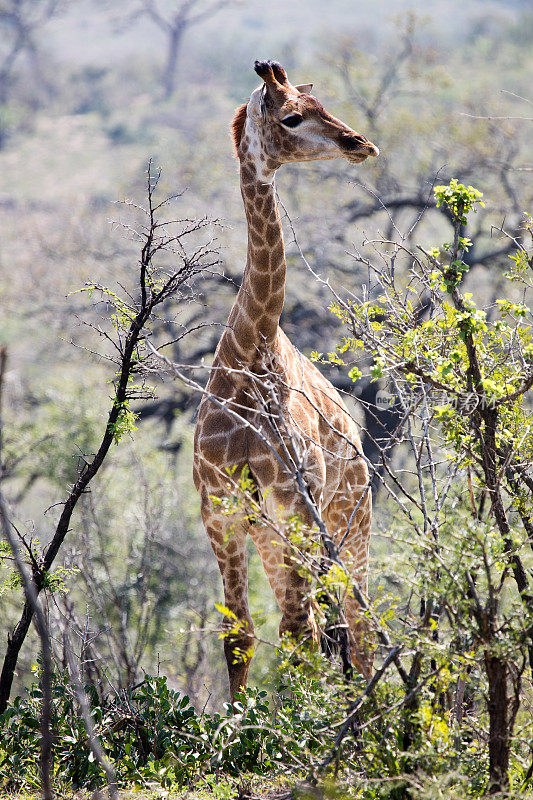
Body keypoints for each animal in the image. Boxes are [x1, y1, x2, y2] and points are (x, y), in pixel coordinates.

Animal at [193, 61, 376, 700]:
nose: (360, 143)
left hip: (347, 519)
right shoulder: (220, 510)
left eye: (320, 105)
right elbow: (239, 634)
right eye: (292, 116)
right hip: (273, 534)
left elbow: (303, 631)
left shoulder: (297, 502)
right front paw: (237, 722)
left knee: (352, 625)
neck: (250, 354)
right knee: (320, 624)